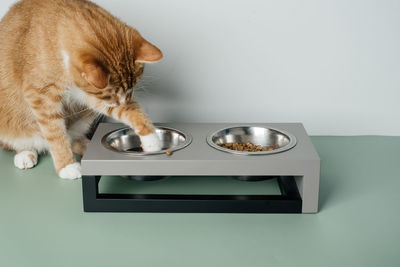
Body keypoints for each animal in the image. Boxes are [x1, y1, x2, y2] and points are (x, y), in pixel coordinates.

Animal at [0, 0, 162, 180]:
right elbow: (55, 133)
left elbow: (134, 113)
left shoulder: (89, 95)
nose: (122, 103)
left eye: (130, 91)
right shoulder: (40, 96)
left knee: (72, 139)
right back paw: (25, 153)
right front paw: (67, 165)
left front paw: (152, 140)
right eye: (110, 96)